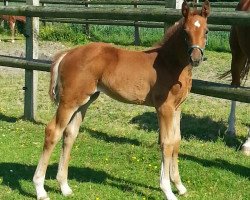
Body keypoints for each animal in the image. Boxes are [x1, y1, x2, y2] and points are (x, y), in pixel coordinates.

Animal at [32, 0, 210, 199]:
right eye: (185, 31)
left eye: (206, 31)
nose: (196, 58)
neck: (169, 63)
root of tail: (68, 53)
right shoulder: (164, 108)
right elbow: (166, 143)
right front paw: (167, 190)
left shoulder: (177, 108)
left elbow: (176, 141)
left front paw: (179, 186)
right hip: (68, 101)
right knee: (53, 131)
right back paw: (40, 189)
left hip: (84, 101)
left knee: (69, 134)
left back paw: (64, 187)